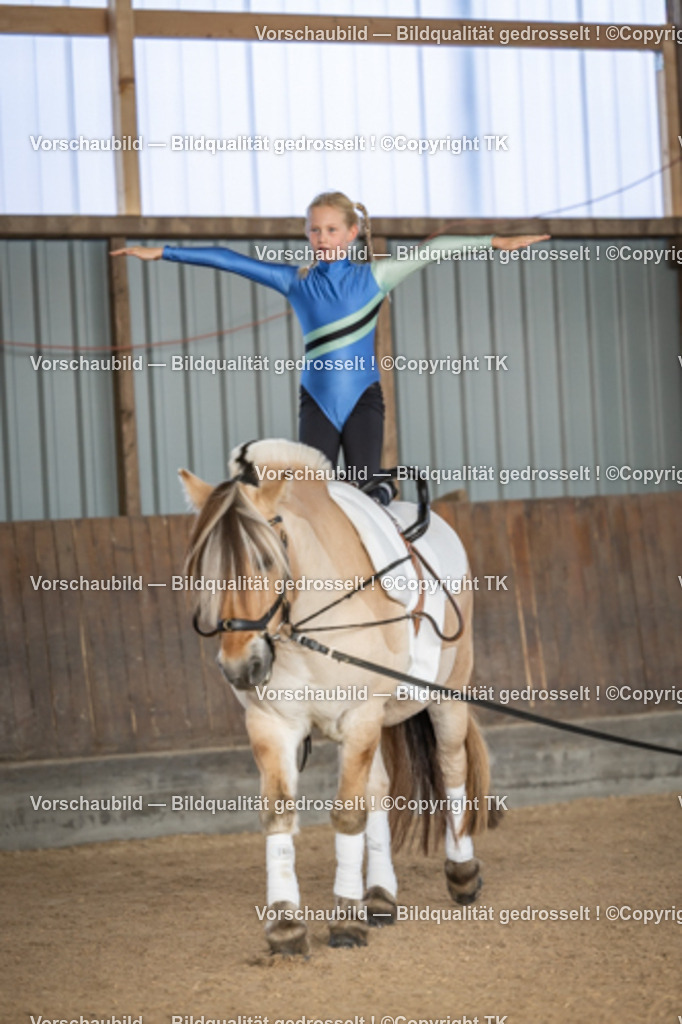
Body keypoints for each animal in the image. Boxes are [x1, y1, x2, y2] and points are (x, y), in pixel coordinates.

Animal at [179, 438, 497, 955]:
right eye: (203, 569)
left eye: (266, 561)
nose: (239, 667)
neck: (306, 627)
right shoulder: (272, 724)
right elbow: (280, 814)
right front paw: (286, 925)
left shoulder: (359, 715)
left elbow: (348, 815)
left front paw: (346, 920)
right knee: (381, 790)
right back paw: (381, 896)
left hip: (446, 696)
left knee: (450, 767)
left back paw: (462, 874)